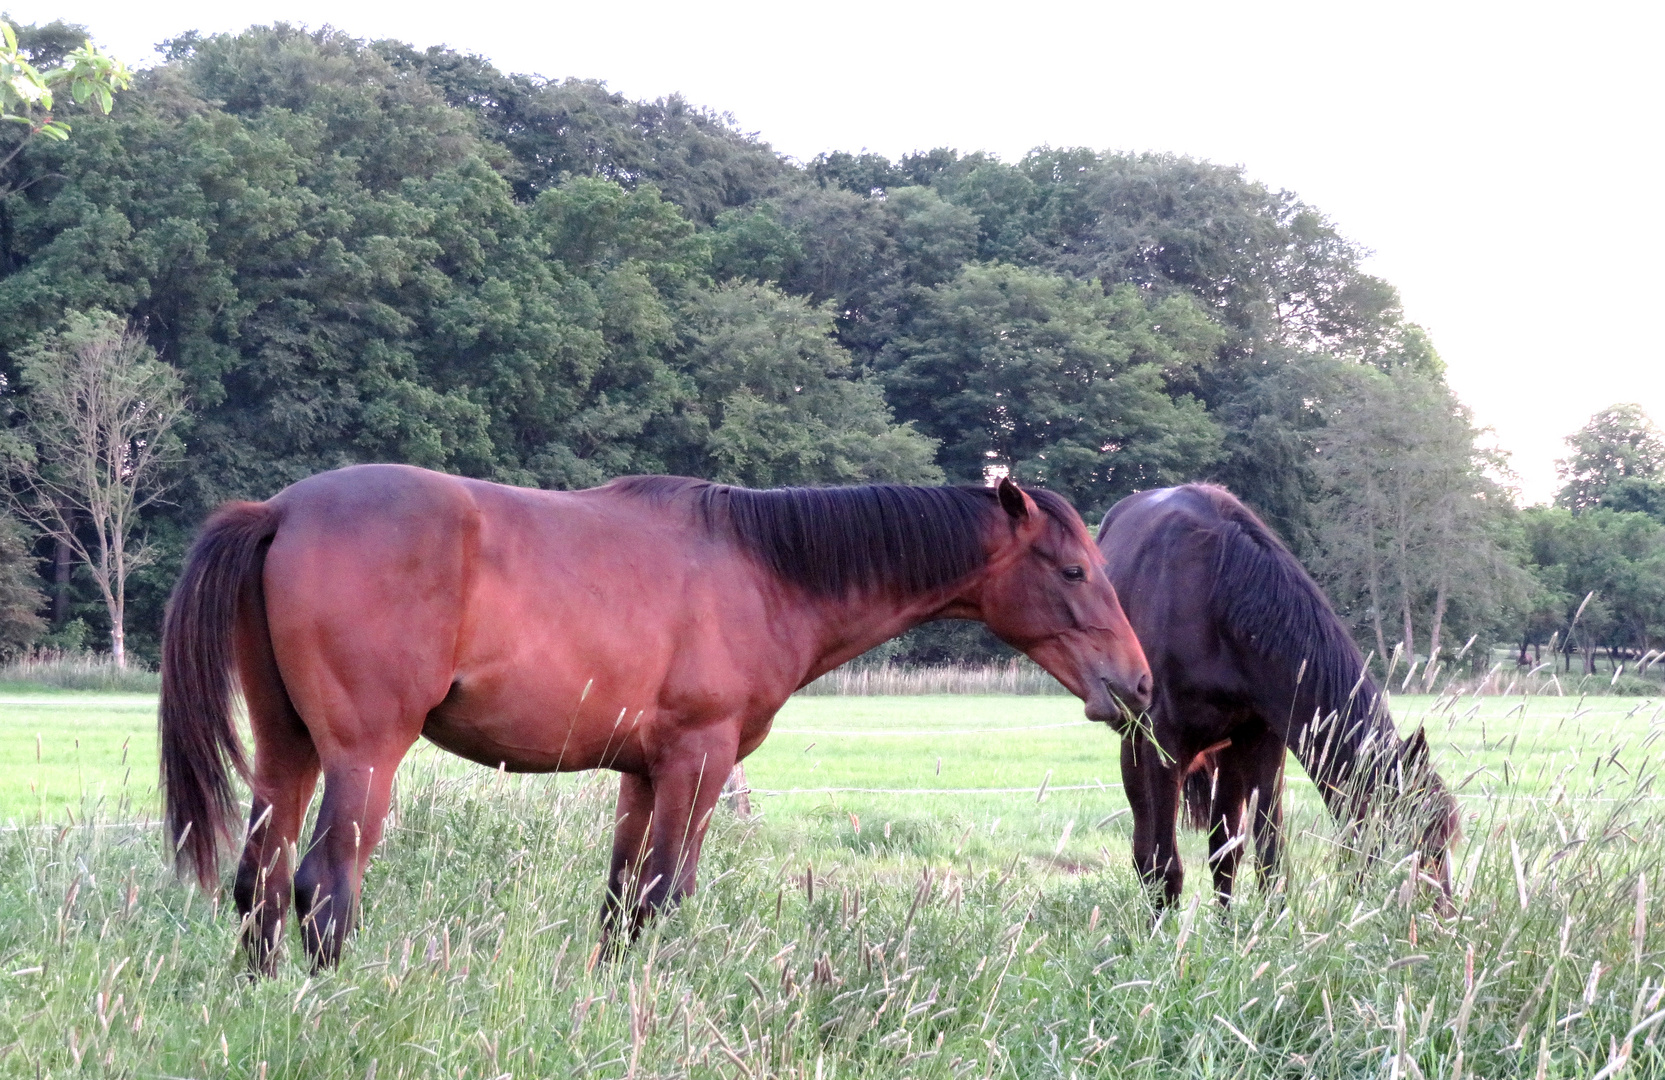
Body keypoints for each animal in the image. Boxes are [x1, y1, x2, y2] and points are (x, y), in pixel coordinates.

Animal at [159, 462, 1145, 971]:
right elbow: (665, 895)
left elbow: (619, 902)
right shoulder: (696, 767)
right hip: (364, 757)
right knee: (323, 886)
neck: (763, 570)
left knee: (257, 885)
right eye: (1071, 571)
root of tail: (281, 510)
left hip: (288, 750)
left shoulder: (641, 774)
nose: (1136, 687)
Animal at [1098, 485, 1465, 905]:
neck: (1218, 597)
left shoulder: (1264, 741)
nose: (1444, 916)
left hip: (1227, 754)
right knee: (1145, 851)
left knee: (1223, 850)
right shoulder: (1163, 747)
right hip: (1135, 744)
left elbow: (1265, 858)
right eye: (1414, 842)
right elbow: (1164, 865)